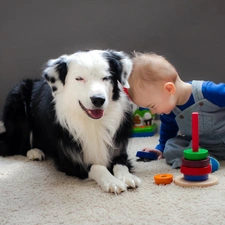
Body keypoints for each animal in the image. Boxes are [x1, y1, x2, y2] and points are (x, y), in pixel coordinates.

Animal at [0, 49, 141, 193]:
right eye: (79, 78)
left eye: (106, 78)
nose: (98, 100)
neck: (92, 122)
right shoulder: (69, 160)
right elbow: (97, 167)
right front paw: (112, 181)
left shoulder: (118, 149)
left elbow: (120, 163)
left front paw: (127, 177)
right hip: (17, 102)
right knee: (17, 145)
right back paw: (34, 152)